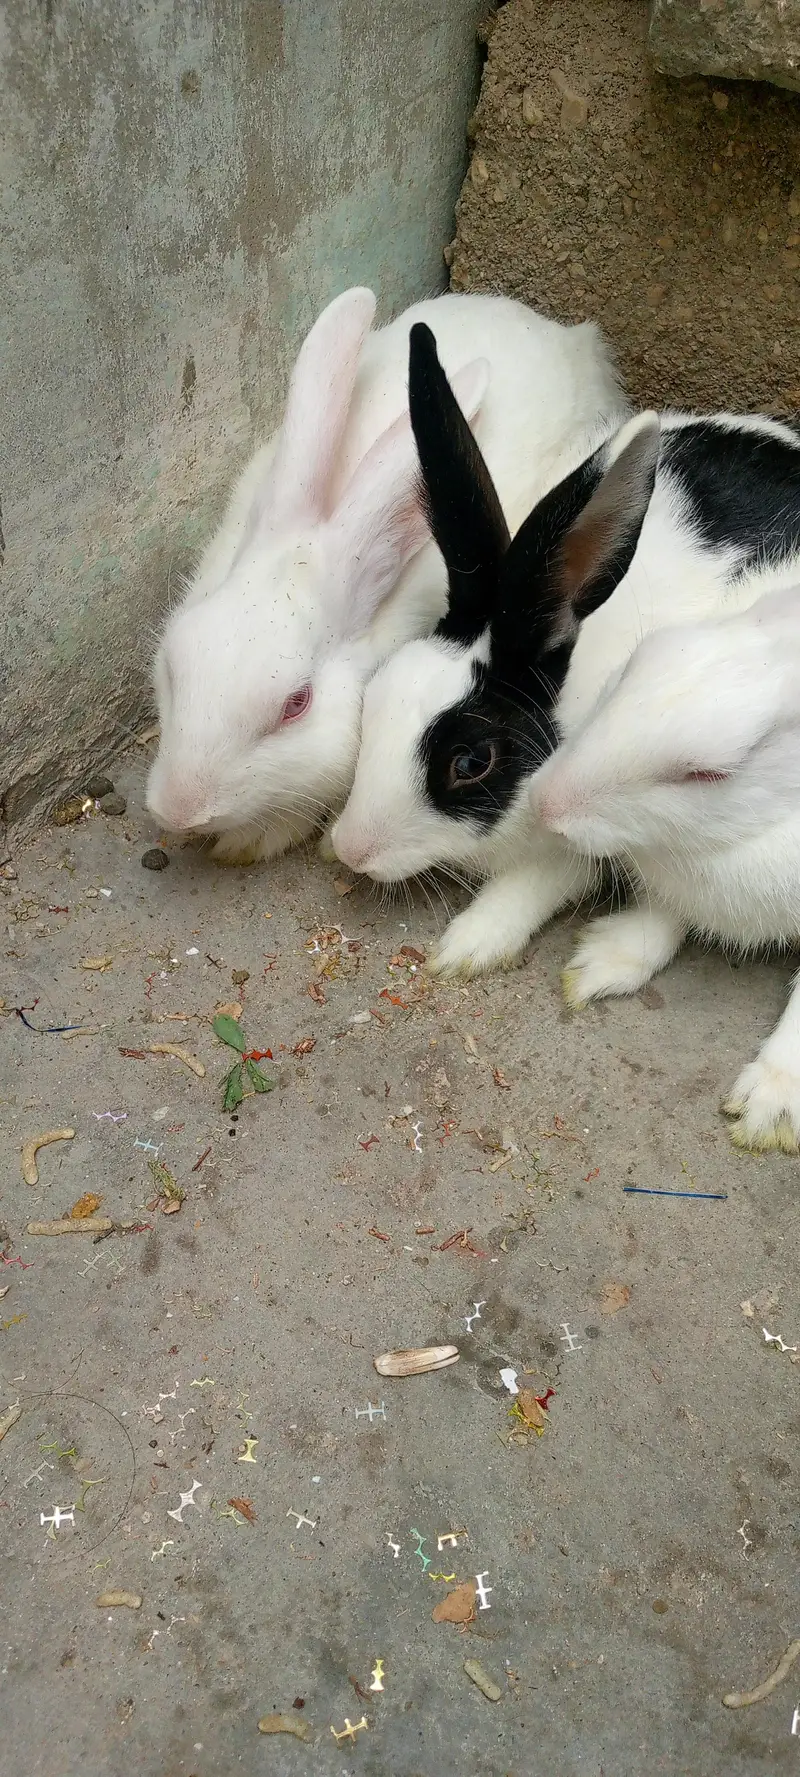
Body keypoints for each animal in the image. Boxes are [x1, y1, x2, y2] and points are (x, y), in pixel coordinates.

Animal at [331, 322, 800, 987]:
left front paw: (467, 946)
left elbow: (532, 885)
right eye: (376, 696)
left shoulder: (575, 850)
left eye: (471, 762)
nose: (351, 849)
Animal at [533, 582, 800, 1152]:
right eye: (634, 663)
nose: (545, 807)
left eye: (708, 774)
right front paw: (599, 964)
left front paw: (769, 1109)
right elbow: (661, 915)